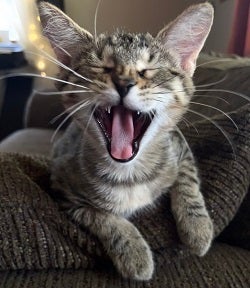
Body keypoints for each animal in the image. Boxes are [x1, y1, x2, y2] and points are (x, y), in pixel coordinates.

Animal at [38, 1, 214, 282]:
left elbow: (187, 178)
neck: (129, 173)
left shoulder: (178, 143)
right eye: (102, 67)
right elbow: (102, 217)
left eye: (148, 70)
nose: (124, 82)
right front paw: (134, 252)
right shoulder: (61, 187)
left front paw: (197, 227)